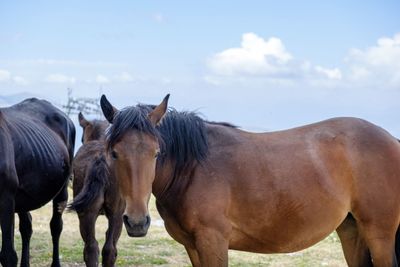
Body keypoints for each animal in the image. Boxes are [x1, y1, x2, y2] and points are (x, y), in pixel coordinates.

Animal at [69, 113, 124, 267]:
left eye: (82, 138)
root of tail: (101, 158)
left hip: (91, 213)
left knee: (94, 248)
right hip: (115, 214)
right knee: (104, 249)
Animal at [99, 95, 400, 266]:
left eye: (156, 152)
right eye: (114, 153)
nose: (137, 222)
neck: (193, 168)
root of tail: (391, 139)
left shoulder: (213, 241)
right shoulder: (192, 246)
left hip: (380, 233)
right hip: (351, 230)